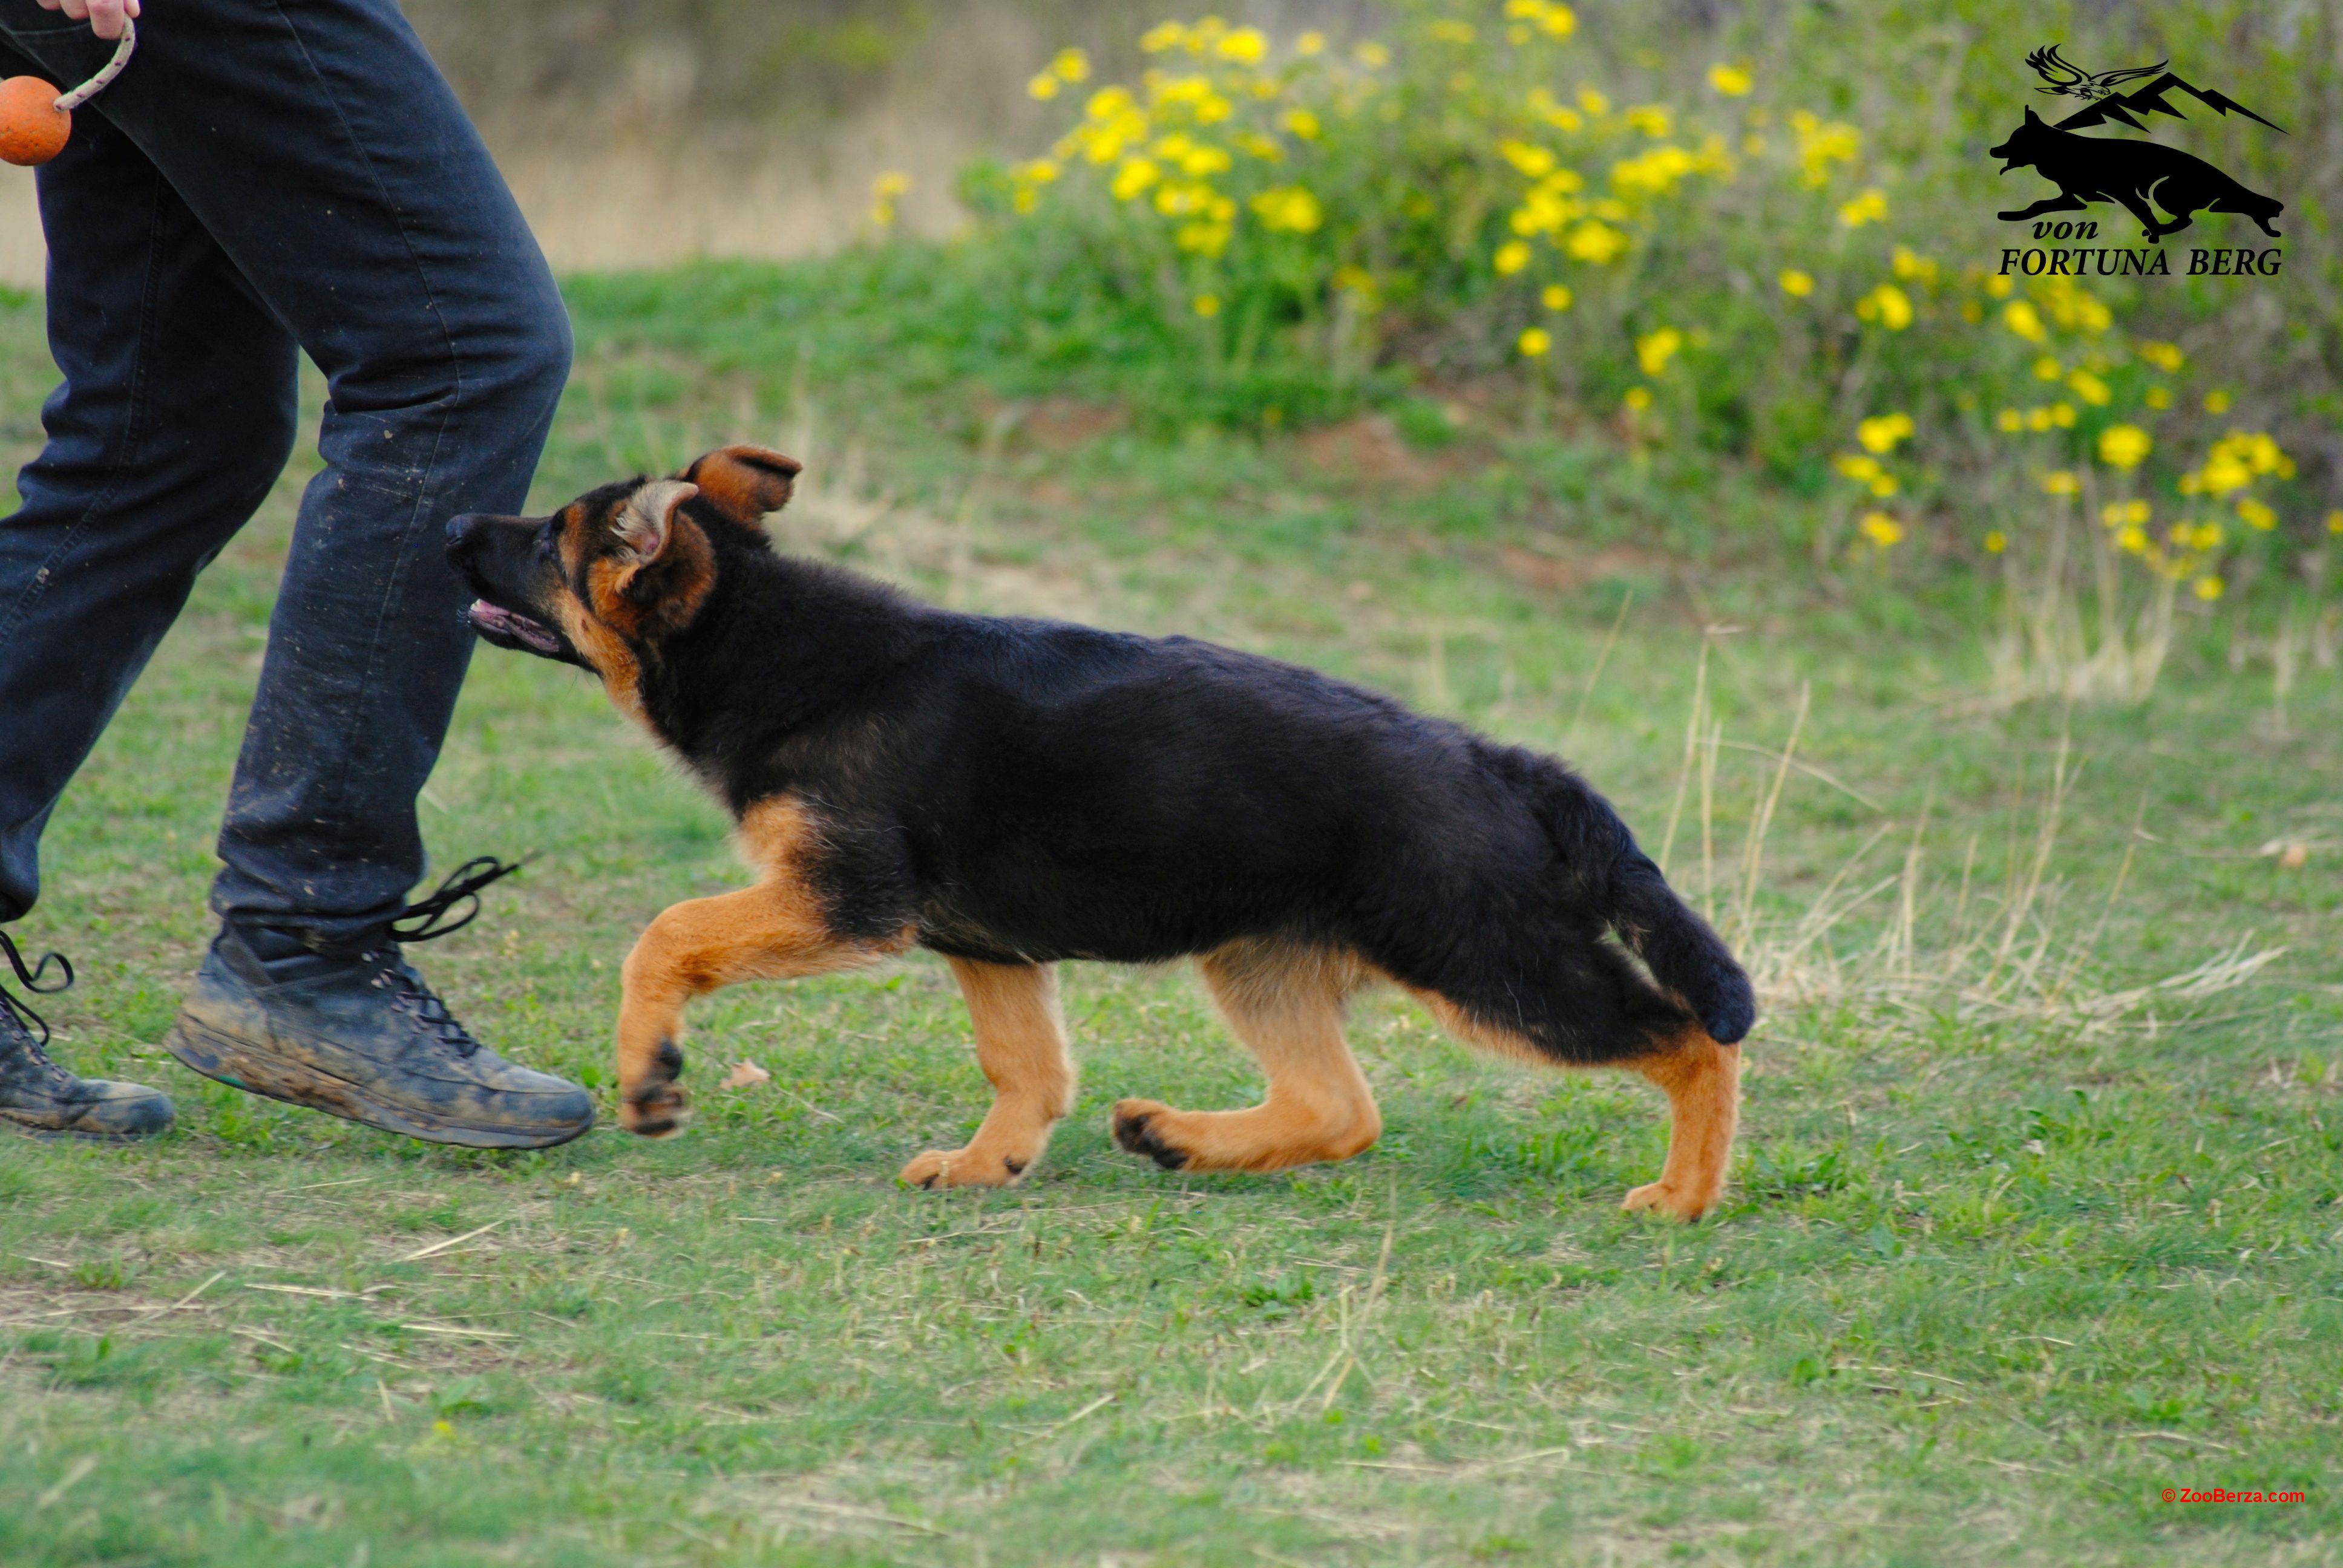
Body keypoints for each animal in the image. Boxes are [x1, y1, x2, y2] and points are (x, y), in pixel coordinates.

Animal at [442, 445, 1761, 1218]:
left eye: (550, 537)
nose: (453, 524)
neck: (764, 640)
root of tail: (1502, 762)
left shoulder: (843, 901)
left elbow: (663, 933)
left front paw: (648, 1076)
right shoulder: (986, 947)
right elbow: (1022, 1068)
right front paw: (988, 1164)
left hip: (1494, 968)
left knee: (1688, 1039)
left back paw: (1683, 1196)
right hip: (1259, 961)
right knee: (1342, 1109)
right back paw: (1176, 1137)